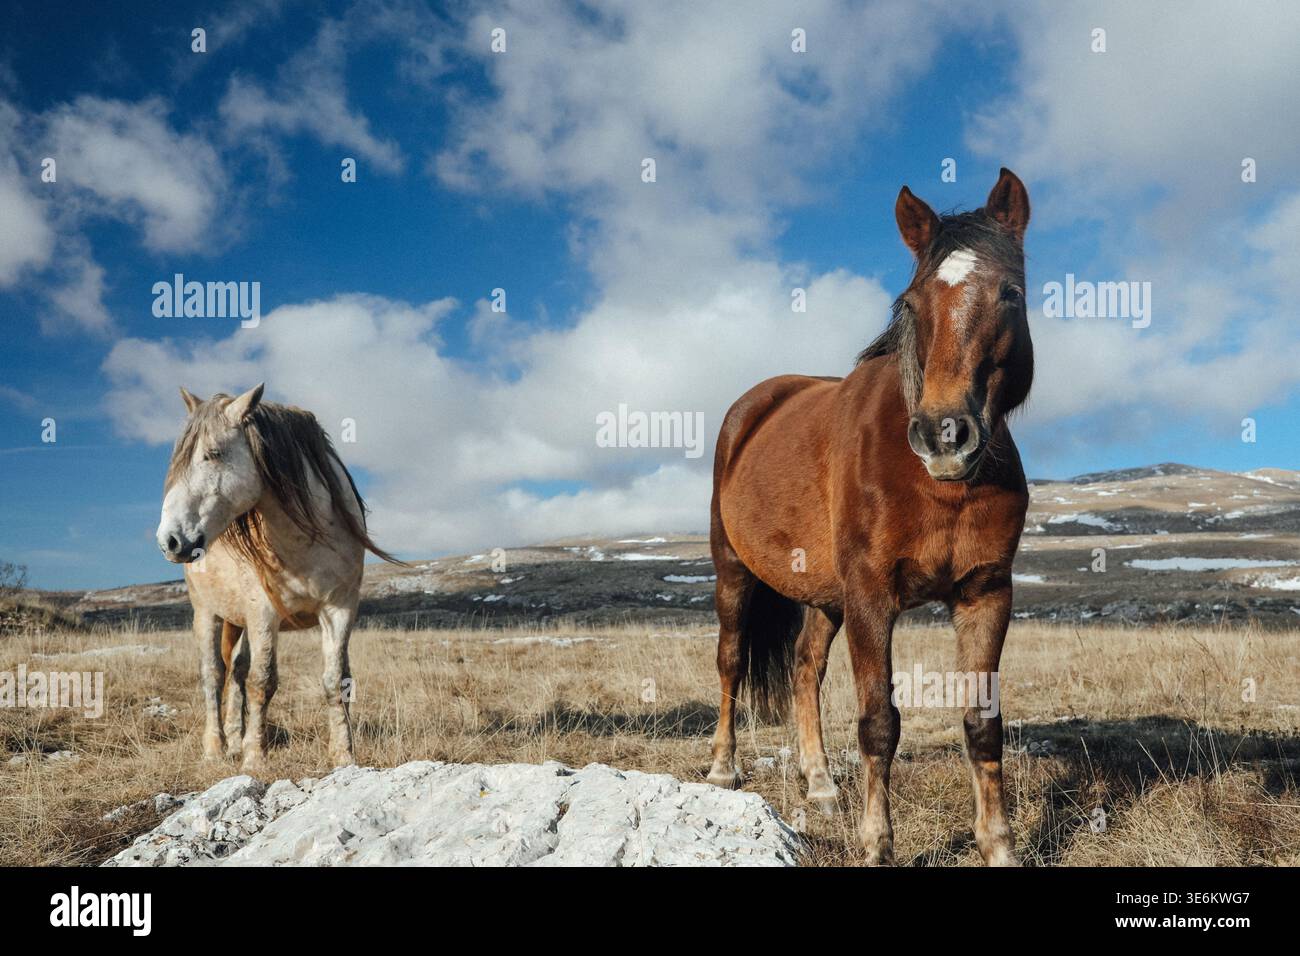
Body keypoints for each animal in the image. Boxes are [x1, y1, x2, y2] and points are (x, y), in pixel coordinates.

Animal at [155, 385, 403, 772]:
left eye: (213, 454)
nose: (169, 540)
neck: (306, 538)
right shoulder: (264, 613)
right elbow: (263, 681)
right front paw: (255, 759)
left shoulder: (339, 609)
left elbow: (336, 680)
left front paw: (343, 755)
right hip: (208, 613)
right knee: (214, 674)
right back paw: (215, 748)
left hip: (240, 620)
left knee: (236, 671)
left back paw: (235, 738)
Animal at [707, 169, 1033, 866]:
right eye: (909, 304)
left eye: (1011, 294)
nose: (945, 435)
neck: (935, 488)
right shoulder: (870, 596)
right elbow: (879, 723)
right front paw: (877, 845)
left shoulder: (986, 594)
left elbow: (982, 724)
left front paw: (999, 846)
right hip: (734, 573)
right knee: (730, 661)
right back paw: (723, 769)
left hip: (824, 596)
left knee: (805, 668)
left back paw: (822, 784)